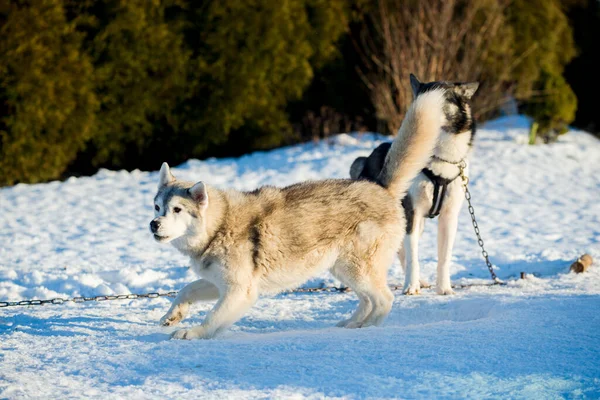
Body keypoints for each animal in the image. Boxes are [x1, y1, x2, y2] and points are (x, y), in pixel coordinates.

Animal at [151, 83, 450, 340]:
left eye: (177, 209)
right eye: (157, 207)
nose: (154, 224)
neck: (219, 226)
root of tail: (380, 187)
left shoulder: (239, 291)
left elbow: (212, 318)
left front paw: (193, 333)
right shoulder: (220, 283)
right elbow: (187, 289)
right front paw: (173, 315)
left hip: (356, 268)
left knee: (383, 300)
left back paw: (367, 328)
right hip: (343, 269)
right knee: (368, 300)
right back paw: (351, 323)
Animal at [350, 73, 480, 296]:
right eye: (420, 97)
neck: (438, 159)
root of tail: (367, 158)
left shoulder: (449, 216)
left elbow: (444, 258)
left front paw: (444, 288)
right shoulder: (412, 212)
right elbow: (413, 257)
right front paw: (411, 286)